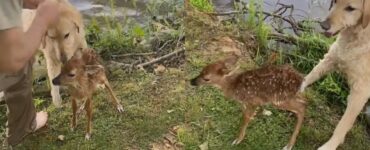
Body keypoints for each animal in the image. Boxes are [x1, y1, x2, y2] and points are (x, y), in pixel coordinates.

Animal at [300, 0, 370, 149]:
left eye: (350, 8)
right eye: (335, 2)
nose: (323, 25)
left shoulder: (360, 92)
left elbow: (343, 124)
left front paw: (329, 146)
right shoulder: (332, 57)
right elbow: (311, 75)